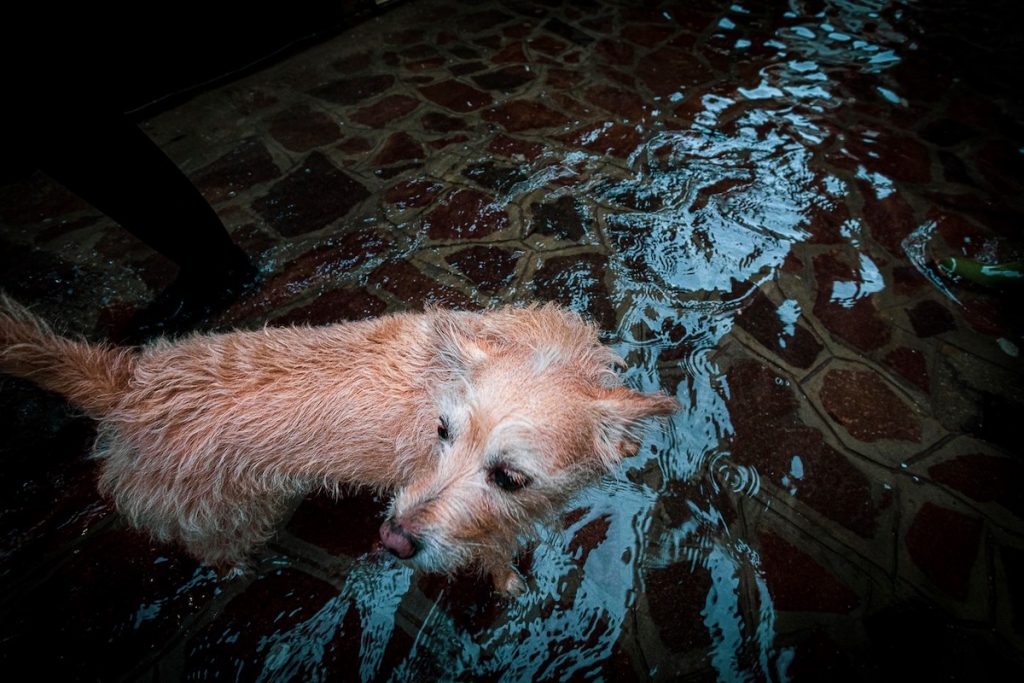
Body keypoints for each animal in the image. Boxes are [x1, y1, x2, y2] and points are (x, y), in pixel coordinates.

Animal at [2, 296, 679, 593]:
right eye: (442, 431)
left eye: (510, 477)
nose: (391, 539)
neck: (547, 351)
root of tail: (128, 383)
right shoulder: (474, 531)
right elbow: (491, 553)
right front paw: (507, 582)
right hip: (231, 514)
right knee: (212, 546)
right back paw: (241, 567)